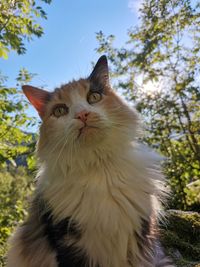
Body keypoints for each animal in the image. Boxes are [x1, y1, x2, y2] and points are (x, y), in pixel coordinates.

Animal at [6, 55, 173, 266]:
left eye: (94, 97)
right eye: (60, 111)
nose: (82, 114)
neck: (99, 167)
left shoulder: (141, 235)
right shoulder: (66, 241)